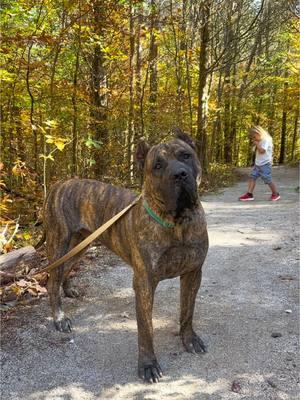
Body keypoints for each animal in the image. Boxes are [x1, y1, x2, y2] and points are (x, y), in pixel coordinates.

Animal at [44, 130, 209, 382]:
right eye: (157, 165)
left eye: (186, 155)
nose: (180, 174)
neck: (178, 222)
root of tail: (60, 184)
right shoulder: (144, 283)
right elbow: (146, 329)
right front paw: (148, 365)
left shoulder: (193, 273)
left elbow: (187, 312)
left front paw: (189, 339)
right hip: (59, 242)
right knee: (52, 280)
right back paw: (60, 318)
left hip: (80, 244)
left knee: (67, 268)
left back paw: (69, 290)